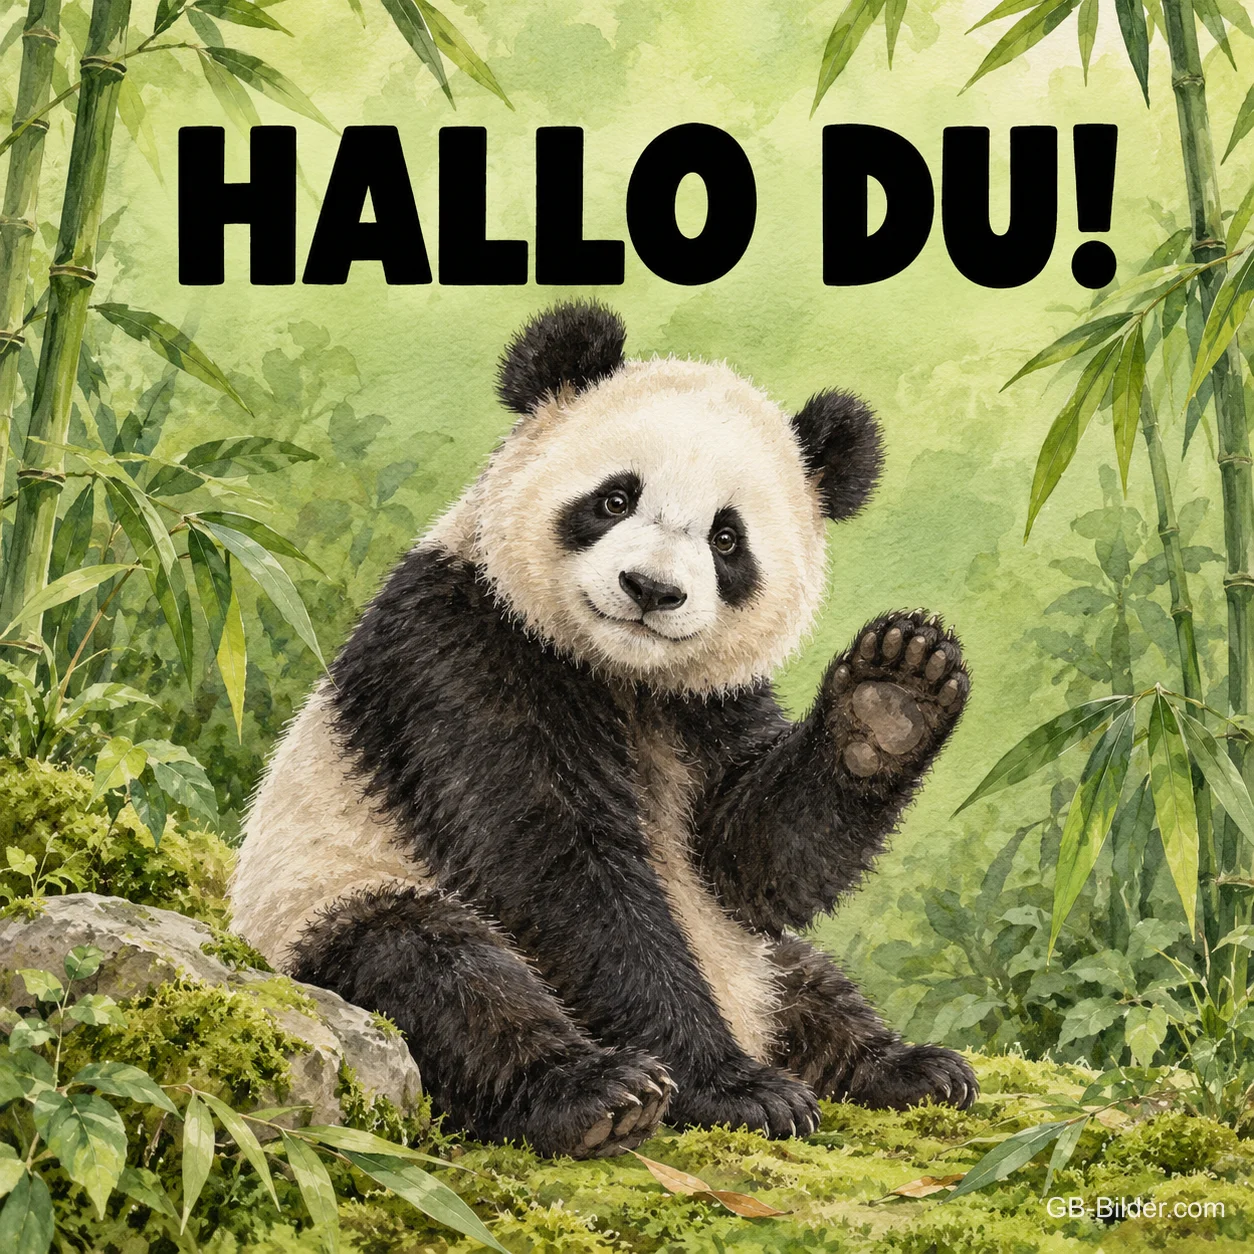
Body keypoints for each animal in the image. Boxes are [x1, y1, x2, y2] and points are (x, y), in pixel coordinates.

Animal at [230, 302, 977, 1160]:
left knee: (811, 980)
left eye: (726, 538)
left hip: (756, 964)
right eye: (615, 500)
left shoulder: (711, 707)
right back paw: (596, 1094)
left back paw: (906, 1068)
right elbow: (563, 871)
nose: (650, 589)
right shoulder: (459, 652)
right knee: (438, 973)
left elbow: (754, 861)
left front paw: (893, 693)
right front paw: (735, 1089)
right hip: (326, 909)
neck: (623, 676)